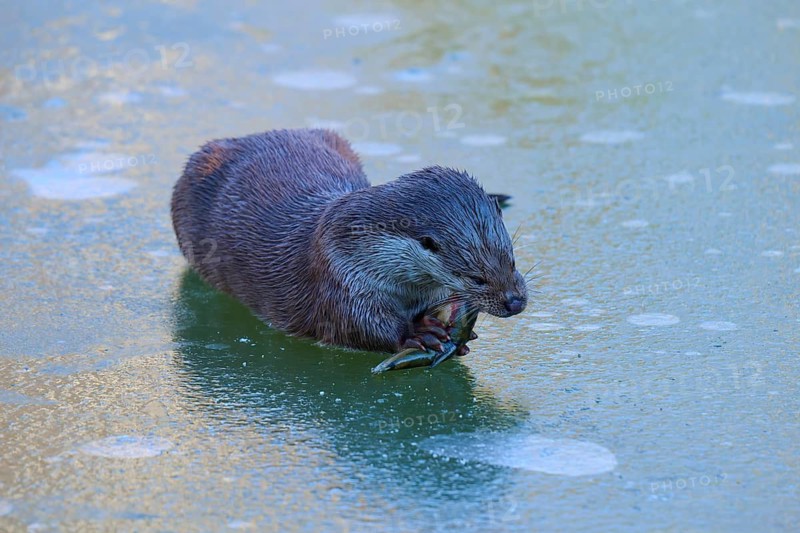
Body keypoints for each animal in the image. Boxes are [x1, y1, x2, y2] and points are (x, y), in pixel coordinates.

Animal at [171, 128, 527, 354]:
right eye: (476, 278)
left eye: (510, 260)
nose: (515, 302)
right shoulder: (338, 277)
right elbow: (356, 326)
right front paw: (418, 333)